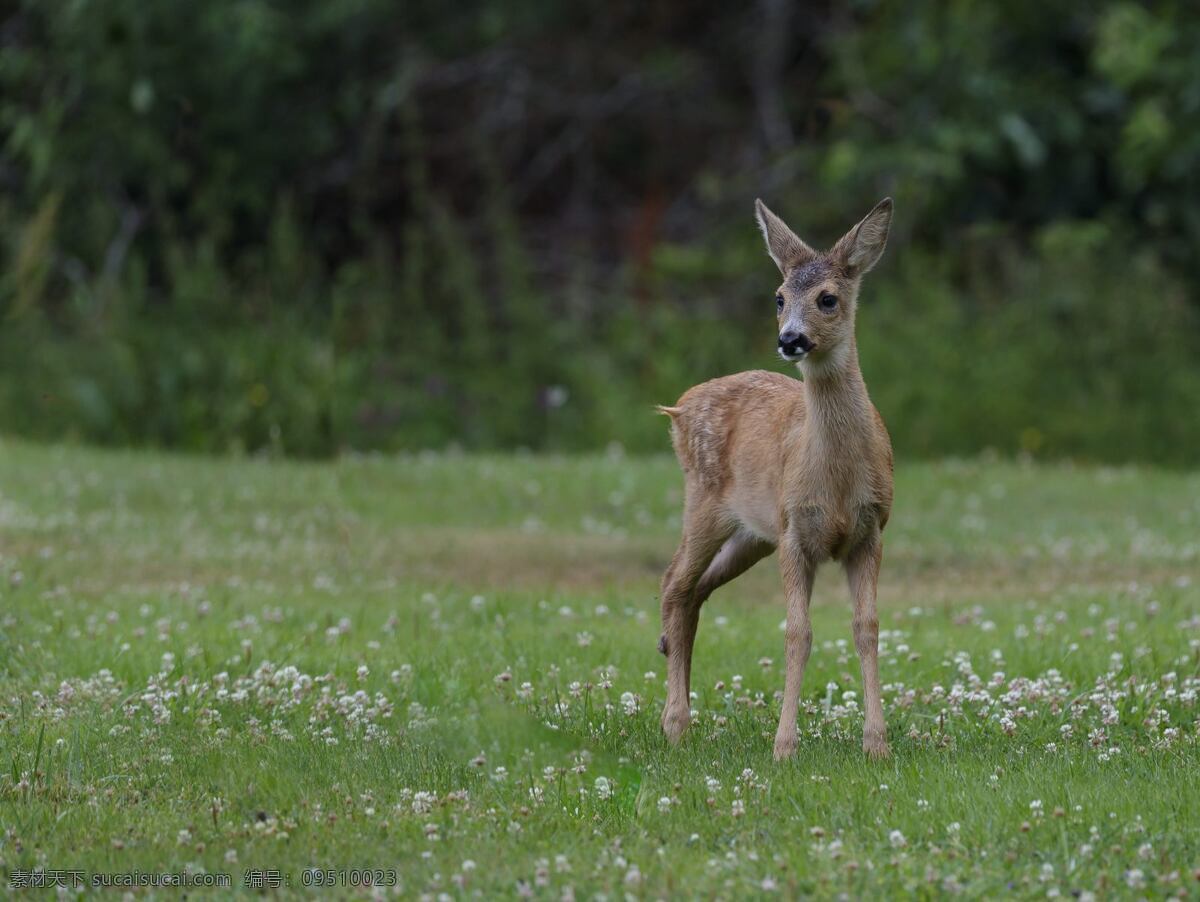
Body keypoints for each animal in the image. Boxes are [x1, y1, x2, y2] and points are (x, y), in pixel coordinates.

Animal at [652, 196, 897, 762]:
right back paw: (675, 723)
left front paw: (877, 744)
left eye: (828, 298)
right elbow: (798, 633)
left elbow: (867, 627)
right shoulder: (794, 531)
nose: (790, 340)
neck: (836, 478)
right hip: (705, 503)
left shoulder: (870, 529)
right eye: (779, 296)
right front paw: (784, 746)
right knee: (674, 584)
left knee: (695, 591)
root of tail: (679, 407)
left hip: (751, 534)